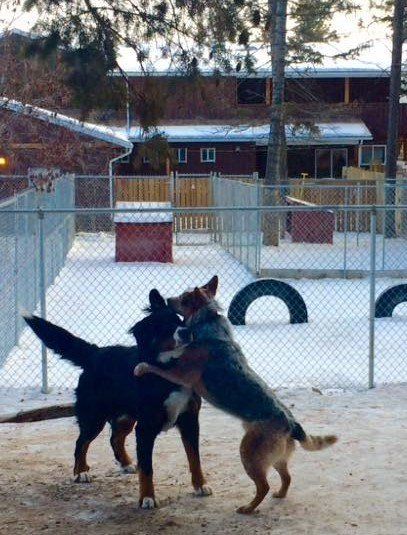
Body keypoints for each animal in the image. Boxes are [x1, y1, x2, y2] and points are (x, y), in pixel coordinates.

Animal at [23, 289, 211, 509]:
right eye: (163, 327)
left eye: (179, 320)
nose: (186, 332)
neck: (167, 373)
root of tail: (95, 352)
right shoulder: (146, 428)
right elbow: (147, 468)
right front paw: (147, 498)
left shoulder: (190, 421)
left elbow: (195, 459)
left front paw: (200, 485)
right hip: (94, 417)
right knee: (81, 442)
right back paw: (81, 472)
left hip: (126, 416)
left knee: (115, 438)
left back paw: (127, 463)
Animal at [135, 276, 337, 514]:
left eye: (183, 298)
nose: (167, 298)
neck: (209, 320)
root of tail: (292, 424)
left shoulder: (180, 373)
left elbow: (157, 367)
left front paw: (142, 367)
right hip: (276, 457)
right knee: (286, 477)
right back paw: (279, 494)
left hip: (248, 454)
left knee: (263, 486)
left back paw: (249, 508)